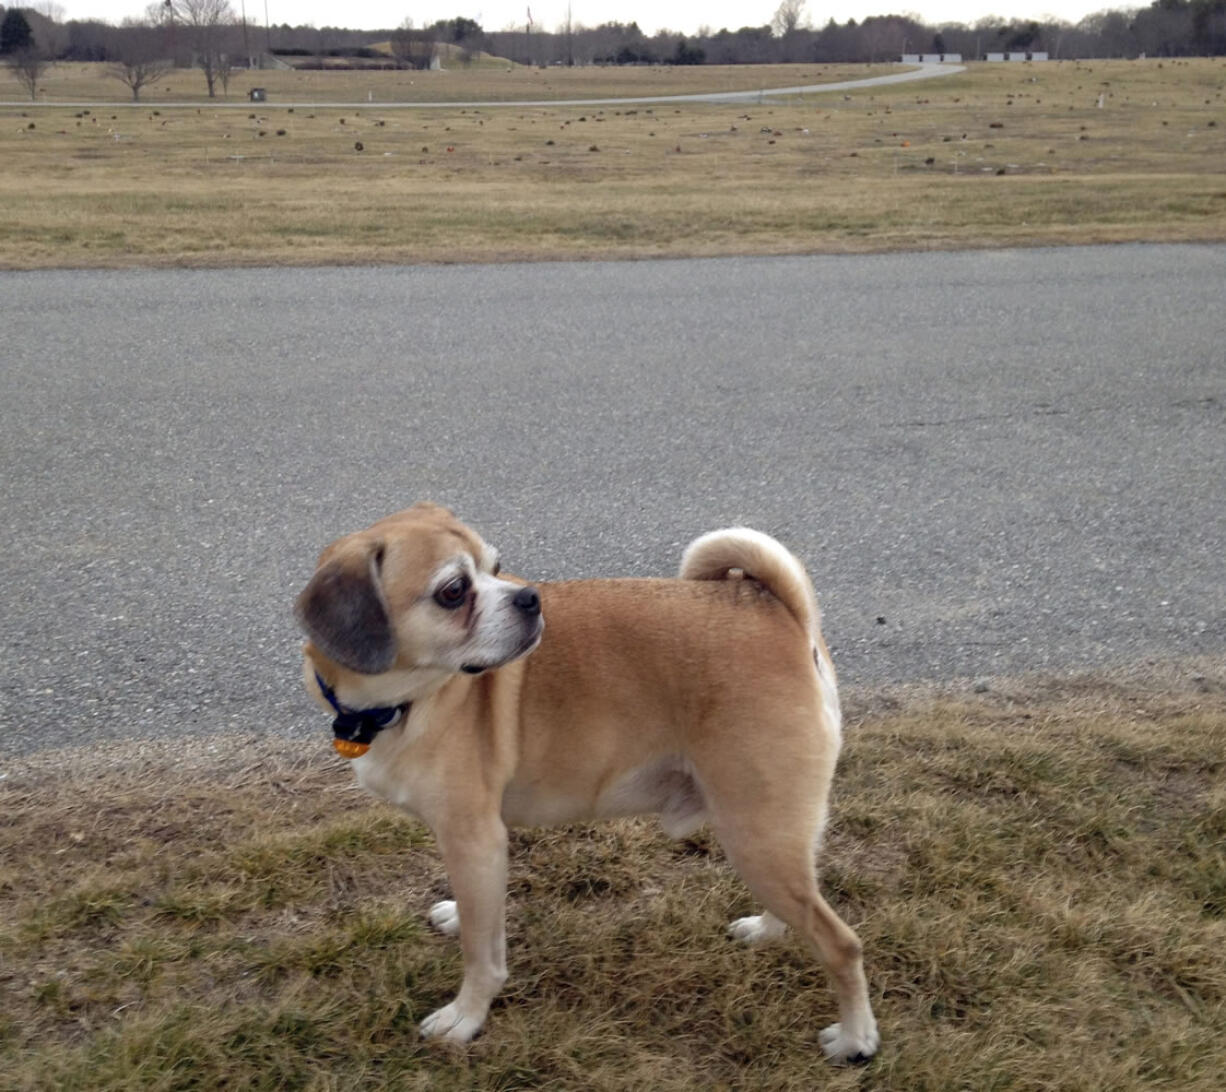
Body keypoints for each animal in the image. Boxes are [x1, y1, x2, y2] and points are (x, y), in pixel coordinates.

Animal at [291, 504, 877, 1068]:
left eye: (496, 568)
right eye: (453, 591)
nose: (529, 597)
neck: (402, 703)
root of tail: (776, 610)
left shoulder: (473, 839)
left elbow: (483, 956)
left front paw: (467, 1015)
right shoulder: (475, 849)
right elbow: (482, 914)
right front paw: (462, 916)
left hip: (755, 838)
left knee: (842, 945)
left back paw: (855, 1039)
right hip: (775, 837)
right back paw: (768, 930)